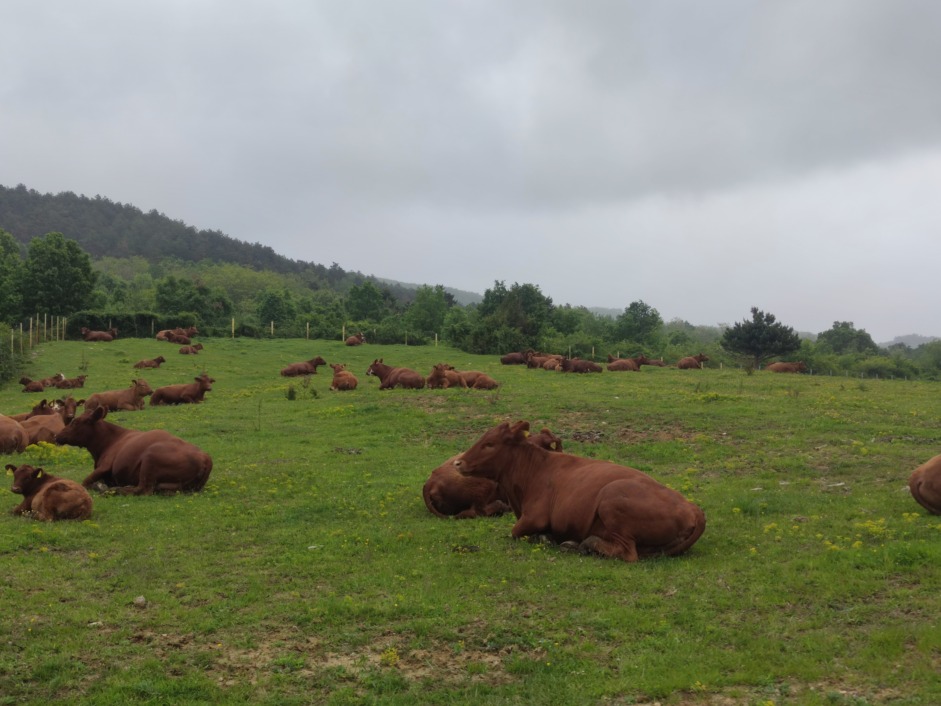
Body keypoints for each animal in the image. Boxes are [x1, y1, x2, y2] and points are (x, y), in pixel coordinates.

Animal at [57, 404, 215, 492]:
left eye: (75, 422)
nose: (57, 435)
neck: (109, 441)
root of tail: (205, 458)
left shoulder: (104, 466)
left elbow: (84, 482)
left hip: (149, 459)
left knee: (143, 489)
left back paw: (115, 490)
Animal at [450, 418, 704, 560]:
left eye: (489, 444)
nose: (458, 463)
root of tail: (693, 508)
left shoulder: (534, 517)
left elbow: (516, 532)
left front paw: (545, 538)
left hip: (611, 501)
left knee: (627, 553)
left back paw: (584, 545)